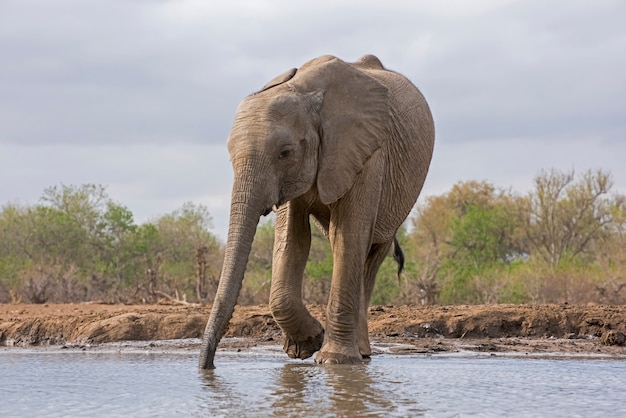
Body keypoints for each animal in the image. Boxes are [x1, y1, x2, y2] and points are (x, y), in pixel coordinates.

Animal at [200, 53, 434, 370]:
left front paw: (332, 360)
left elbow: (349, 234)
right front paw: (306, 346)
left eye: (285, 153)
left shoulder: (367, 153)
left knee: (370, 252)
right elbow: (293, 240)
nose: (208, 365)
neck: (304, 91)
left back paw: (360, 353)